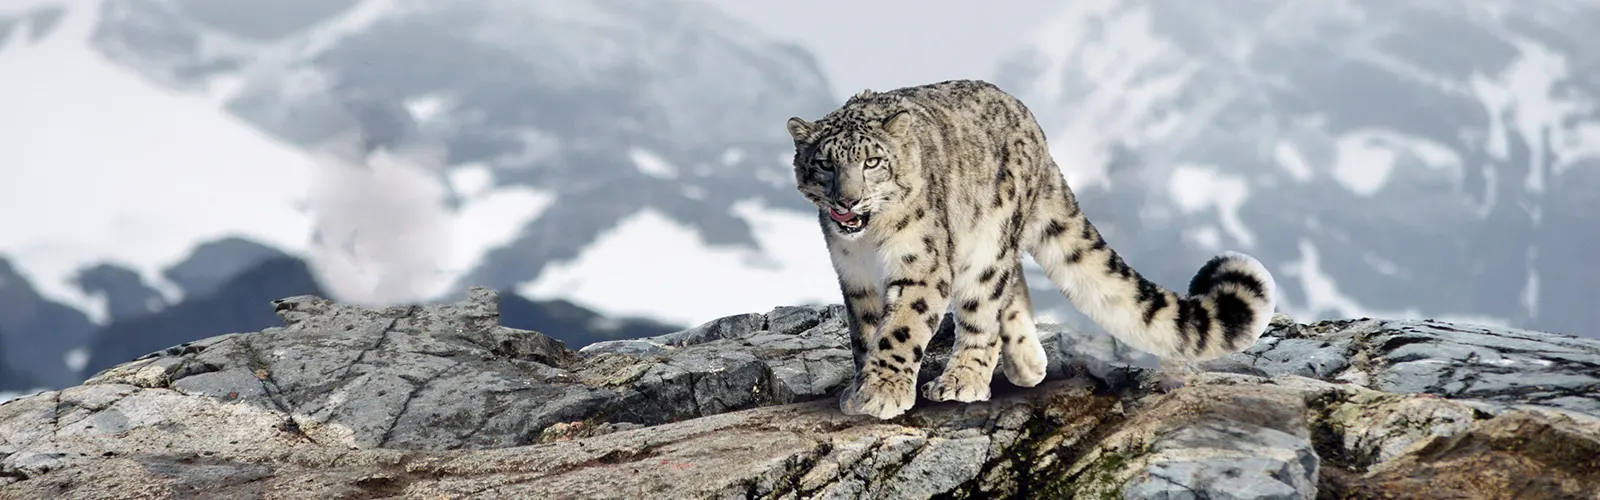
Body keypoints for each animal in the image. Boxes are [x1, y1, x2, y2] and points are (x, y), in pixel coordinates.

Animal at [784, 79, 1278, 419]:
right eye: (825, 163)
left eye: (872, 162)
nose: (848, 201)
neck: (870, 243)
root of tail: (1033, 126)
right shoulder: (855, 278)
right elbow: (865, 332)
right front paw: (861, 387)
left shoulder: (921, 266)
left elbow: (901, 328)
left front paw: (883, 390)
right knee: (1012, 285)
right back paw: (1027, 363)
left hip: (989, 240)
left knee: (985, 303)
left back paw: (963, 379)